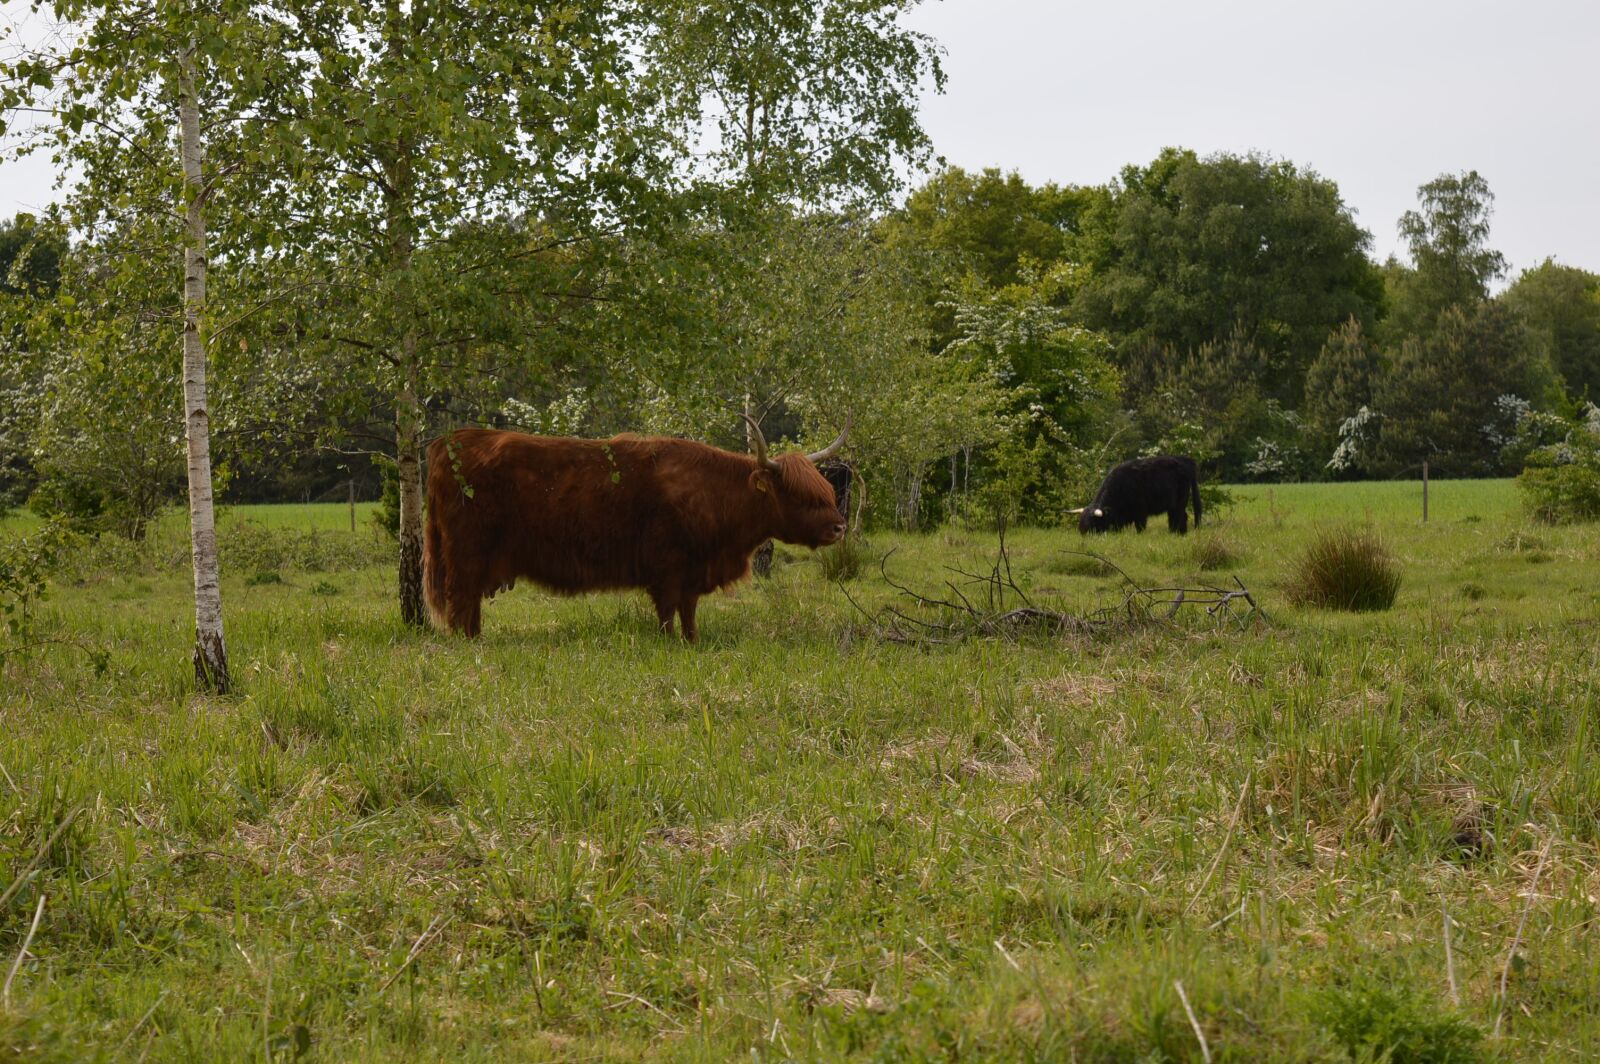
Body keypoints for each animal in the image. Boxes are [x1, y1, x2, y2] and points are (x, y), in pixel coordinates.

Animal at [422, 416, 848, 641]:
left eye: (827, 491)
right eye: (801, 495)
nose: (838, 528)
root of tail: (448, 441)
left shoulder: (692, 571)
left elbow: (689, 610)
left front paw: (692, 640)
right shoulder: (668, 566)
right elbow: (668, 609)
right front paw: (670, 641)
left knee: (470, 603)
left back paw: (476, 638)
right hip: (465, 554)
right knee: (460, 600)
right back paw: (467, 643)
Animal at [1073, 455, 1202, 534]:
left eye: (1092, 525)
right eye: (1081, 526)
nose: (1084, 537)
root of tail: (1185, 460)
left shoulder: (1140, 510)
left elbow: (1140, 526)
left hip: (1180, 501)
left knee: (1179, 516)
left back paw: (1177, 533)